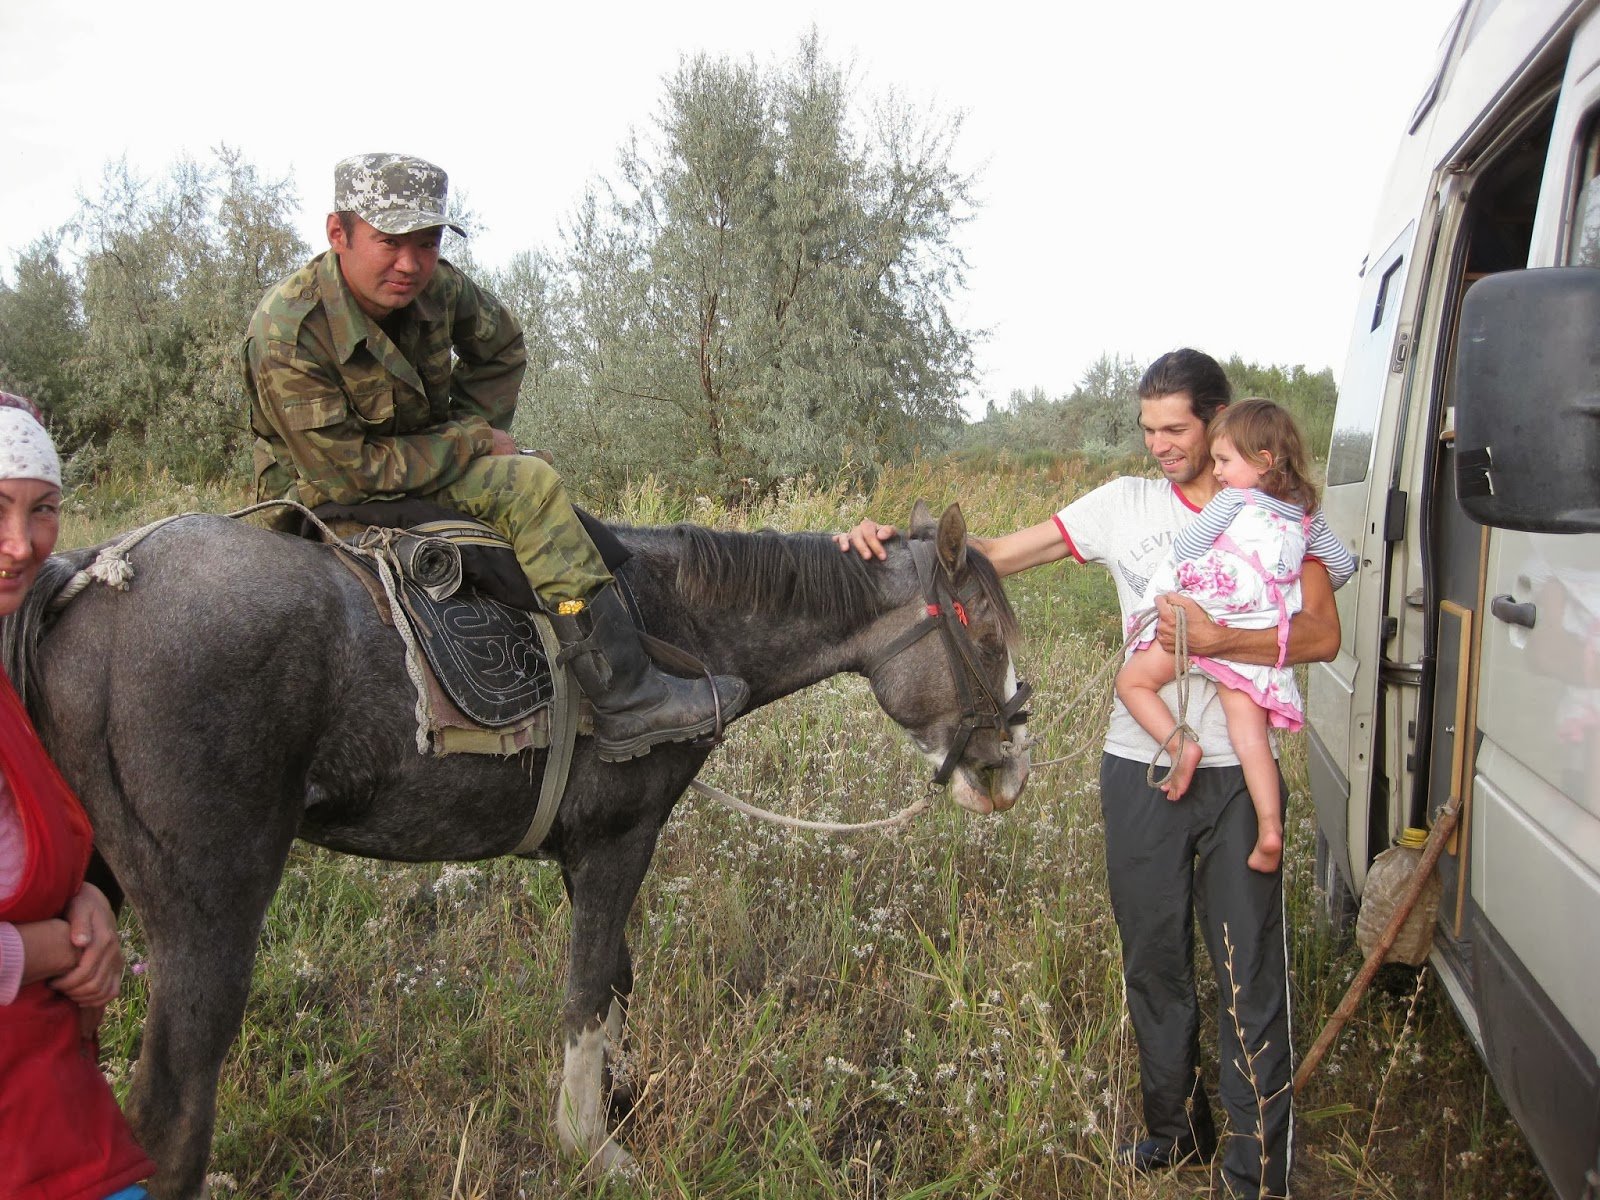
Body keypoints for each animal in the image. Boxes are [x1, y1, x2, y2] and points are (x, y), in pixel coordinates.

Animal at [0, 499, 1024, 1196]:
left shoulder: (589, 855)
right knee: (171, 1120)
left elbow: (615, 980)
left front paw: (618, 1094)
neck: (676, 622)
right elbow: (586, 990)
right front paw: (592, 1145)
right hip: (209, 919)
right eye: (984, 629)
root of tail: (88, 573)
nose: (1009, 770)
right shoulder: (619, 843)